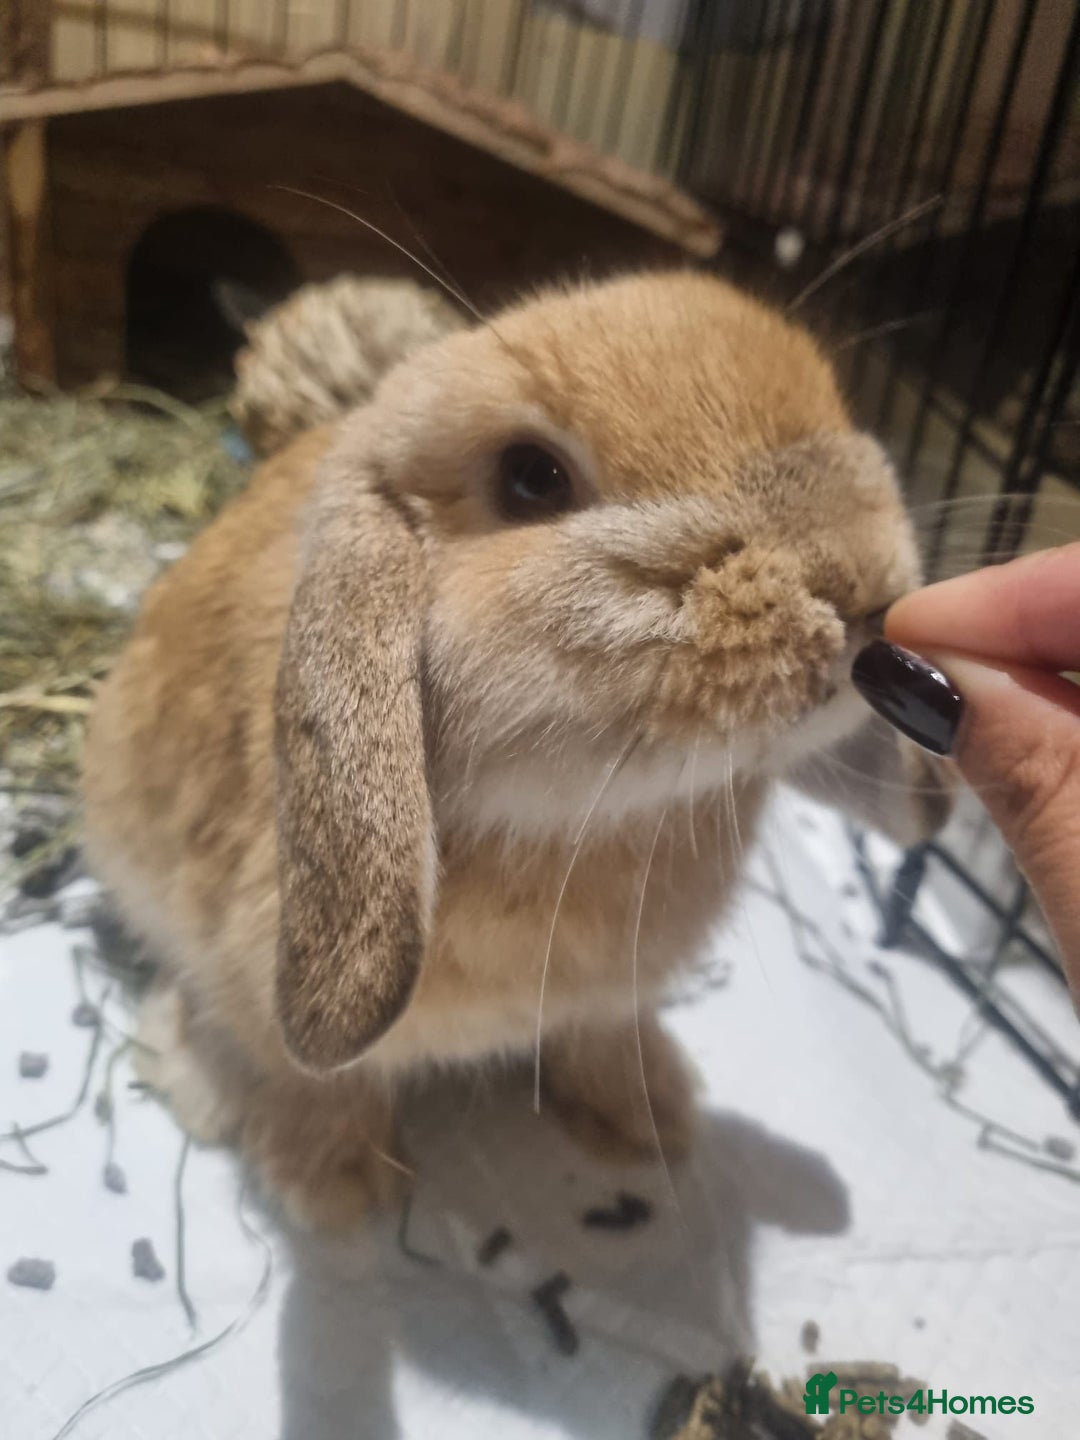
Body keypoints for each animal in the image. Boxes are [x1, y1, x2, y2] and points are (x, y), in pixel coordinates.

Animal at [81, 269, 950, 1231]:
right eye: (533, 478)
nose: (862, 583)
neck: (592, 824)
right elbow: (317, 1082)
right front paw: (338, 1191)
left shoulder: (606, 1001)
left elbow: (599, 1039)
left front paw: (652, 1116)